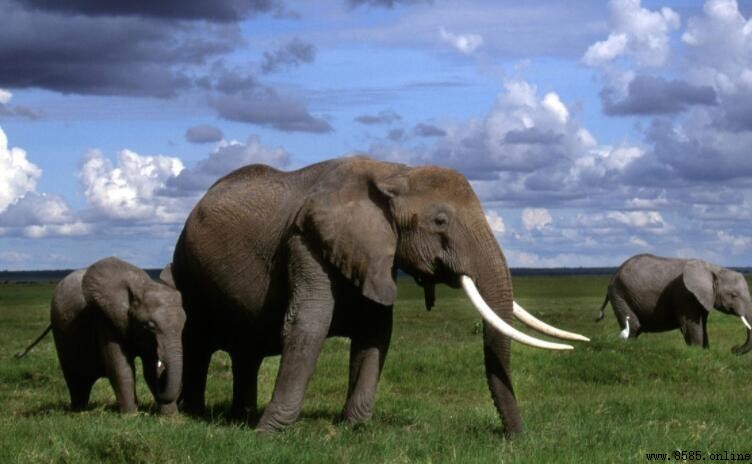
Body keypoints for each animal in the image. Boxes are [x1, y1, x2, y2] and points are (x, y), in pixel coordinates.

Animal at [16, 257, 186, 413]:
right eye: (149, 326)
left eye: (183, 324)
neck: (142, 286)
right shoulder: (105, 318)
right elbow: (120, 368)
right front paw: (131, 416)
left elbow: (151, 370)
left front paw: (171, 418)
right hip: (61, 330)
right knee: (76, 378)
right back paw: (78, 411)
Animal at [172, 155, 588, 436]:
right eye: (439, 221)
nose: (515, 437)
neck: (394, 172)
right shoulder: (307, 240)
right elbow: (307, 324)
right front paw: (269, 434)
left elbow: (376, 332)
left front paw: (354, 428)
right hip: (186, 268)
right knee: (197, 340)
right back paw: (193, 414)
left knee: (247, 352)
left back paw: (238, 416)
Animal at [596, 253, 752, 354]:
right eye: (734, 295)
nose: (733, 349)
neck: (713, 268)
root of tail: (613, 276)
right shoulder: (685, 293)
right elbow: (692, 325)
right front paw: (697, 353)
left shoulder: (703, 297)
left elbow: (703, 325)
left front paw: (706, 351)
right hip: (620, 293)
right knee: (634, 326)